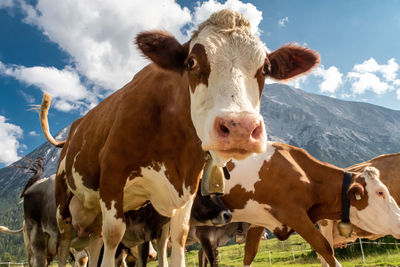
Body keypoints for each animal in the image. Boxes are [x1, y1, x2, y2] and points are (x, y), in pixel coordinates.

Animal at [39, 8, 318, 267]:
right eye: (191, 62)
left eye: (265, 68)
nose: (239, 127)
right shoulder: (113, 174)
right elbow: (114, 236)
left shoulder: (187, 187)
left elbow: (179, 236)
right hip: (64, 196)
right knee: (66, 241)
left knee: (94, 241)